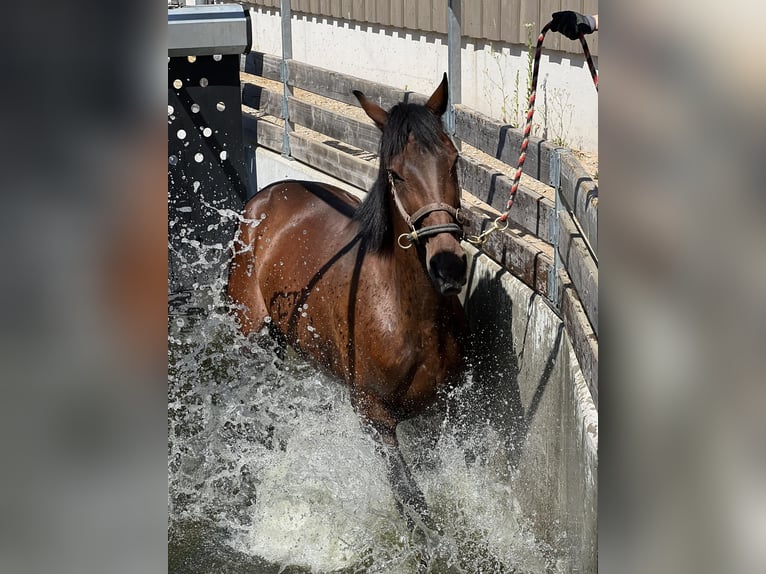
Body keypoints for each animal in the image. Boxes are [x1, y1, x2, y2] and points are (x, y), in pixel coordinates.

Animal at [228, 76, 468, 532]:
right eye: (395, 174)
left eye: (453, 161)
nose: (449, 266)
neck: (408, 315)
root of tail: (268, 196)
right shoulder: (375, 417)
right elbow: (412, 502)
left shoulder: (438, 414)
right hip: (251, 334)